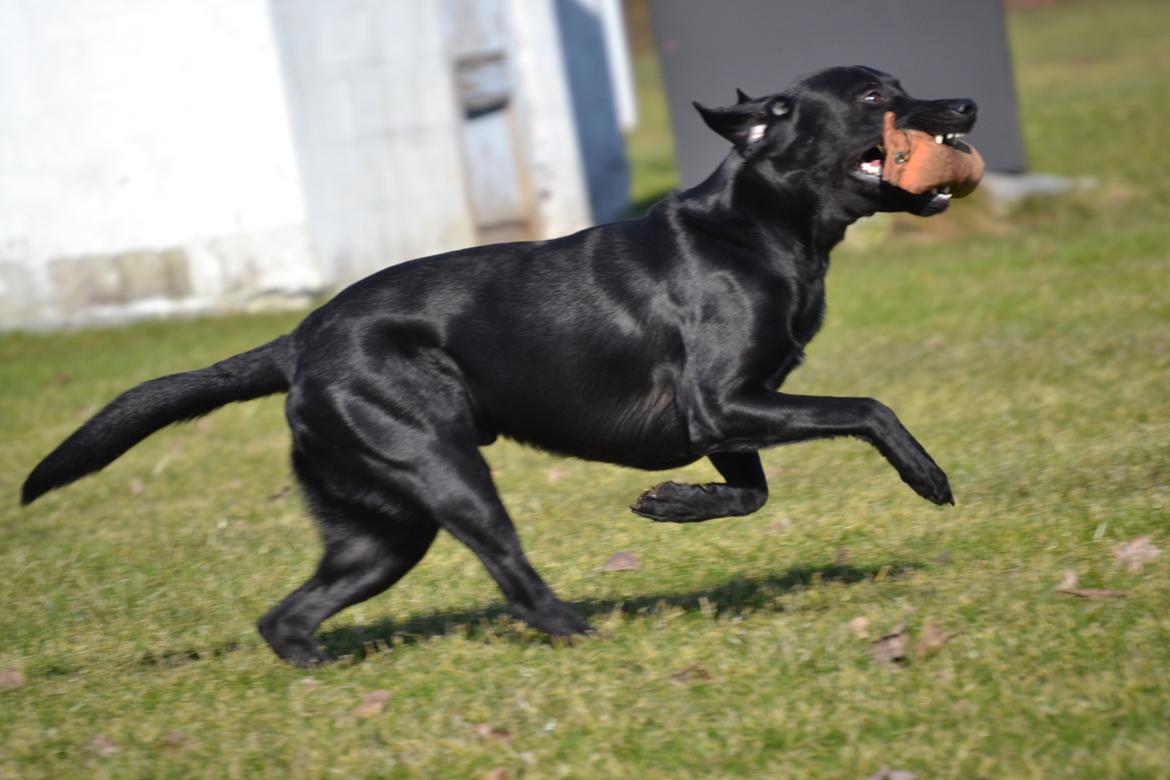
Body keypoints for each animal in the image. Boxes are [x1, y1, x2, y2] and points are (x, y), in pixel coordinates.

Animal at [25, 68, 978, 664]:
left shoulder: (731, 416)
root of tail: (296, 342)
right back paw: (581, 632)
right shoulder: (726, 401)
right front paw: (928, 476)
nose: (966, 105)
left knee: (286, 616)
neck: (756, 229)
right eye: (872, 95)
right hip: (447, 475)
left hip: (381, 532)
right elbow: (869, 407)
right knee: (514, 578)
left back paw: (317, 667)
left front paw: (671, 503)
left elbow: (748, 493)